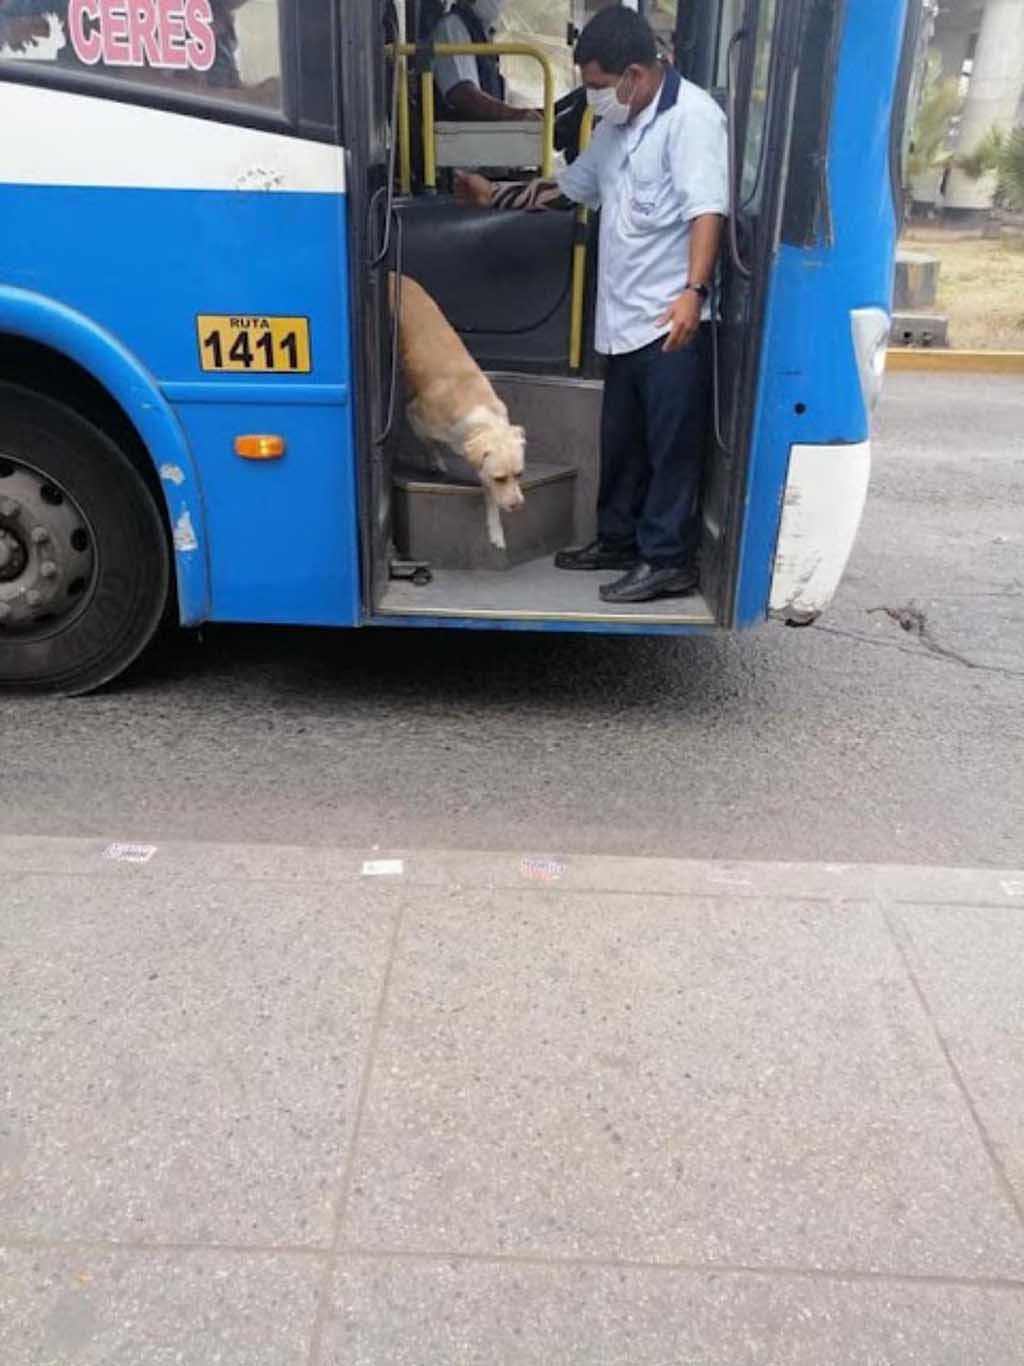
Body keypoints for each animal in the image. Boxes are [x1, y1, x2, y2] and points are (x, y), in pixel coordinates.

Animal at [387, 271, 524, 549]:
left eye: (519, 475)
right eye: (500, 478)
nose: (517, 505)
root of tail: (394, 274)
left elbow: (489, 494)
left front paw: (496, 530)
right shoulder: (416, 416)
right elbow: (428, 442)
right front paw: (435, 462)